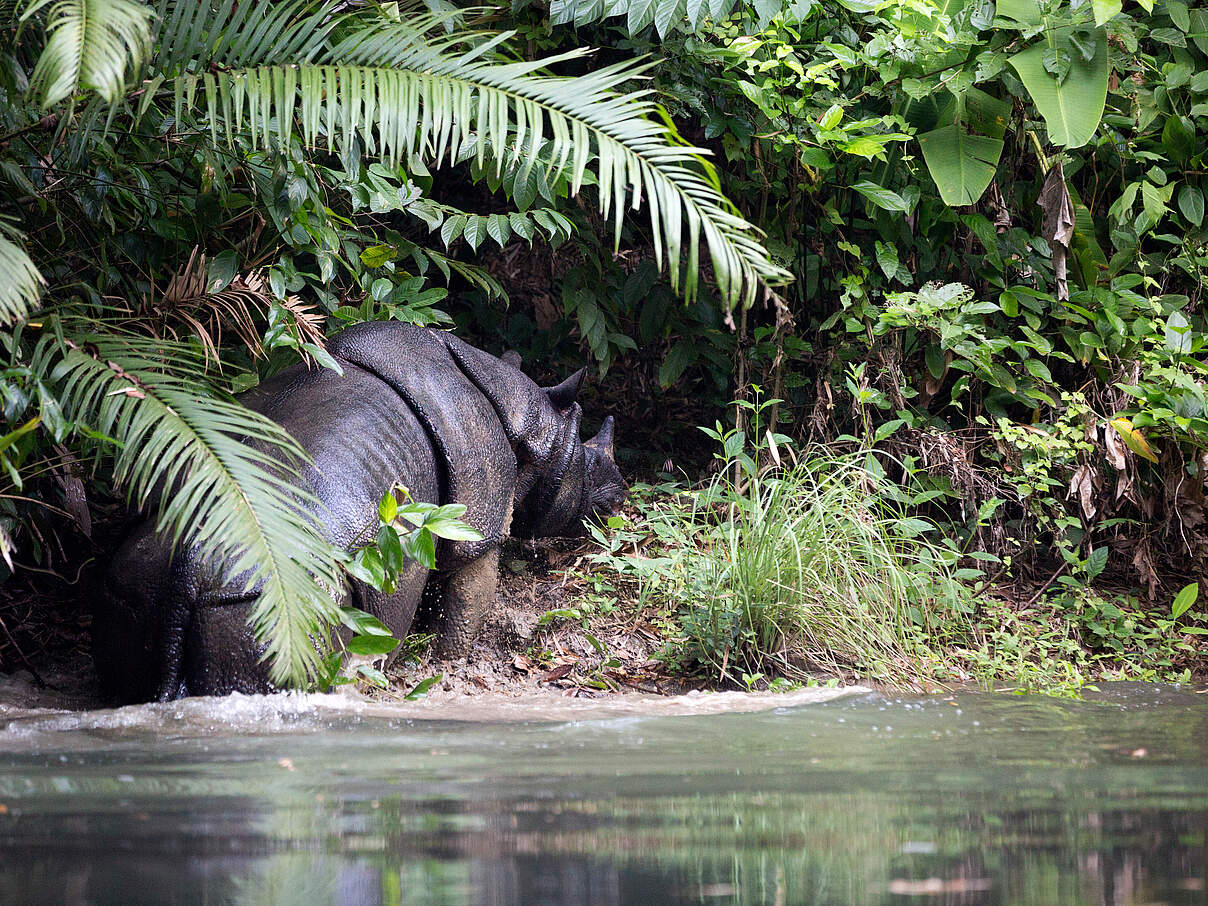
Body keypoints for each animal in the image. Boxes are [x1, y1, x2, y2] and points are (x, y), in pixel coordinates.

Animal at [93, 323, 623, 705]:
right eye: (588, 463)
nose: (619, 499)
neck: (526, 417)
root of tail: (187, 575)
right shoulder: (477, 524)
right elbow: (467, 605)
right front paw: (449, 666)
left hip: (142, 587)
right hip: (283, 606)